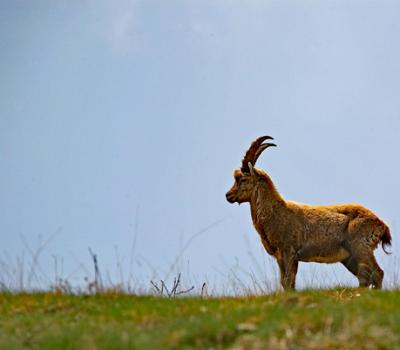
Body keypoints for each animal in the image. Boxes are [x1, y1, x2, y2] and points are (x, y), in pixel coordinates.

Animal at [227, 136, 392, 290]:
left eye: (242, 178)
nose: (228, 195)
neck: (275, 213)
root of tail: (382, 225)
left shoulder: (290, 251)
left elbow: (289, 281)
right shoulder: (280, 256)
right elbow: (284, 282)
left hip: (361, 248)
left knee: (378, 273)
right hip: (349, 257)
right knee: (364, 278)